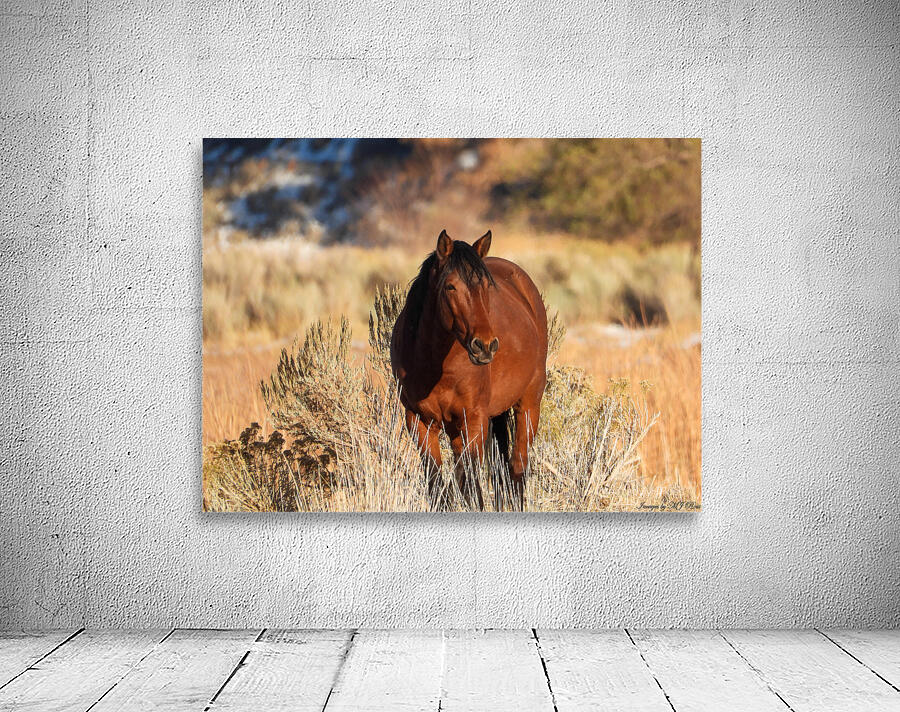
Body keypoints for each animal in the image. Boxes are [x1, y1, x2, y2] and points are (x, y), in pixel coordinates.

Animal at [390, 229, 548, 511]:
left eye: (485, 287)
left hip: (528, 406)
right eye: (450, 286)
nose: (485, 345)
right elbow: (438, 487)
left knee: (517, 468)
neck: (436, 368)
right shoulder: (419, 422)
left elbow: (472, 485)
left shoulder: (474, 420)